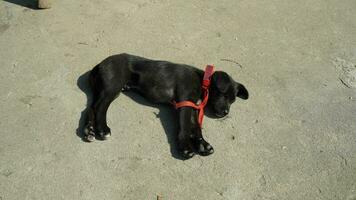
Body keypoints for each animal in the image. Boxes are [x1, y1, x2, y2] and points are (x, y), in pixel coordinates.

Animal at [85, 52, 249, 158]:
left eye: (233, 100)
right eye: (224, 94)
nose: (226, 112)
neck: (202, 81)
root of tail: (99, 65)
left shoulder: (193, 106)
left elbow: (196, 127)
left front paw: (202, 144)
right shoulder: (184, 103)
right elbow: (184, 127)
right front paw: (185, 148)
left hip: (104, 90)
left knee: (90, 108)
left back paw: (89, 131)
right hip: (113, 87)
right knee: (100, 107)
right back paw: (102, 129)